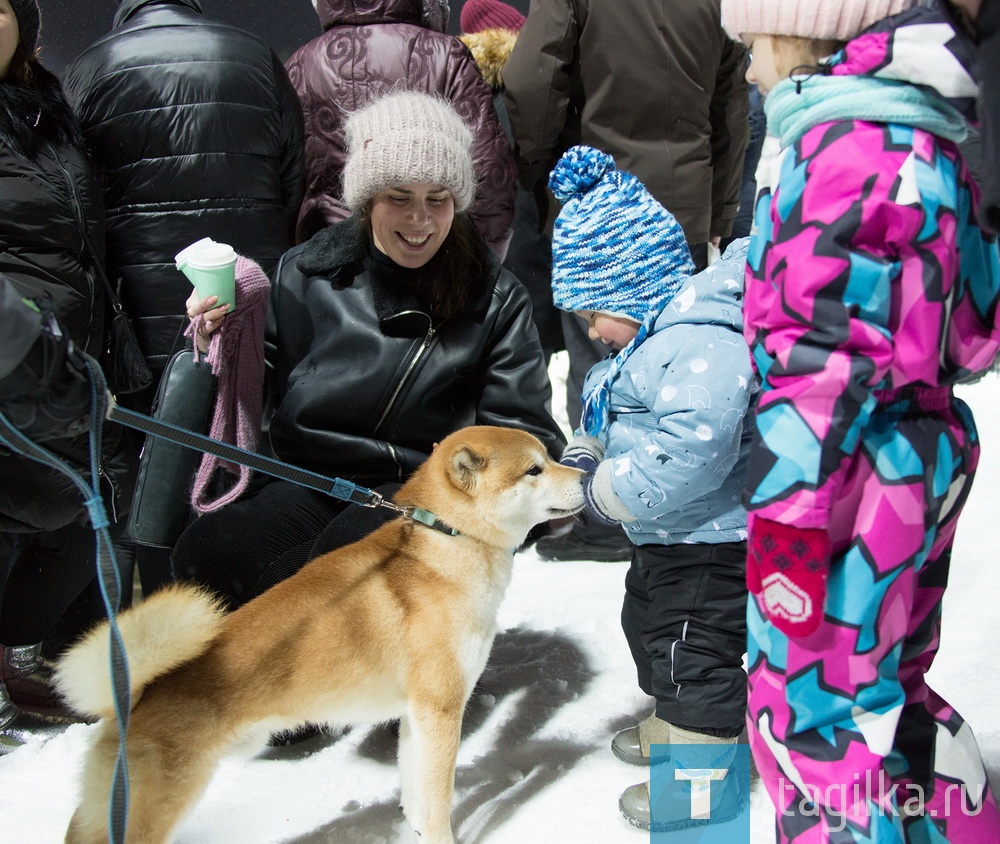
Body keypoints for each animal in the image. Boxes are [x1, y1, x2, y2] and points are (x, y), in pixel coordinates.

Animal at [54, 428, 584, 844]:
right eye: (534, 469)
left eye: (548, 458)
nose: (584, 474)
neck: (446, 542)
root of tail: (134, 693)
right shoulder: (440, 710)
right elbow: (437, 804)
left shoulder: (416, 717)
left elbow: (415, 795)